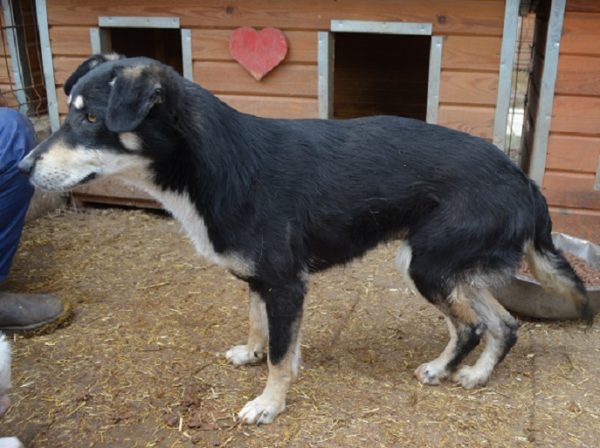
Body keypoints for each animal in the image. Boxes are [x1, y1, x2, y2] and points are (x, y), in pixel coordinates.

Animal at [18, 55, 592, 424]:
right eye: (69, 115)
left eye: (91, 117)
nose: (22, 168)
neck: (216, 165)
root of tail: (524, 180)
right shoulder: (262, 281)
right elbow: (264, 332)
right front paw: (254, 355)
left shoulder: (286, 284)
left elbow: (279, 353)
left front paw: (268, 404)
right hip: (446, 266)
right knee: (505, 324)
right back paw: (475, 376)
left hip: (426, 264)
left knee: (472, 325)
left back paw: (448, 369)